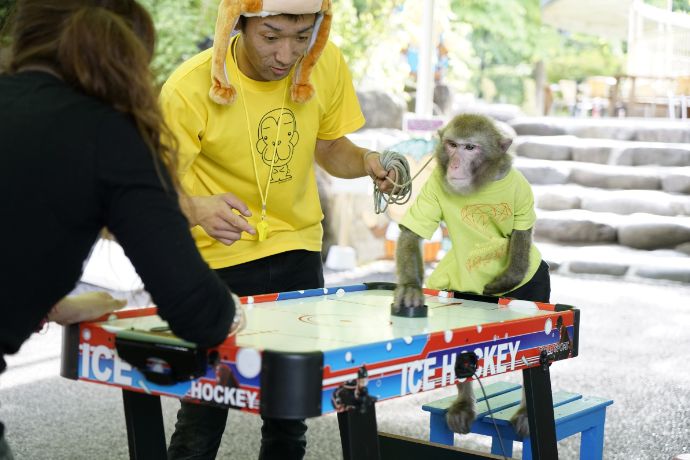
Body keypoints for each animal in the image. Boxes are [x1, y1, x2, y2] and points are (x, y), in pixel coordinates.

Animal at [392, 113, 548, 436]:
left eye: (470, 147)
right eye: (452, 145)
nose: (454, 164)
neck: (481, 186)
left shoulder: (522, 192)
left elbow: (522, 233)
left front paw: (506, 279)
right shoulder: (434, 187)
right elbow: (412, 233)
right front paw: (410, 287)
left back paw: (526, 412)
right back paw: (464, 404)